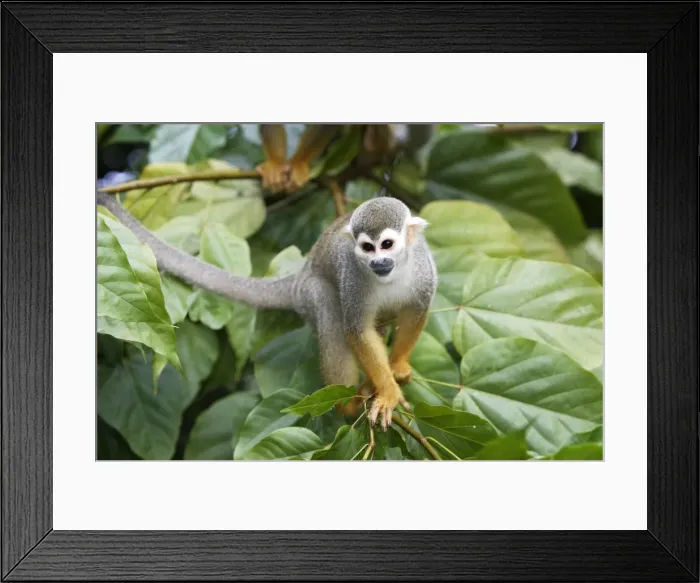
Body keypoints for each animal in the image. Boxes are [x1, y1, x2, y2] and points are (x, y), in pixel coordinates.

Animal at [96, 190, 437, 430]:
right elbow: (357, 329)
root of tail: (300, 274)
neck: (393, 273)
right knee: (329, 310)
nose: (378, 262)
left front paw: (397, 365)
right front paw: (387, 390)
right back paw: (348, 404)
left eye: (387, 245)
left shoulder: (423, 268)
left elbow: (417, 310)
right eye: (367, 248)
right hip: (310, 292)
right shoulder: (353, 274)